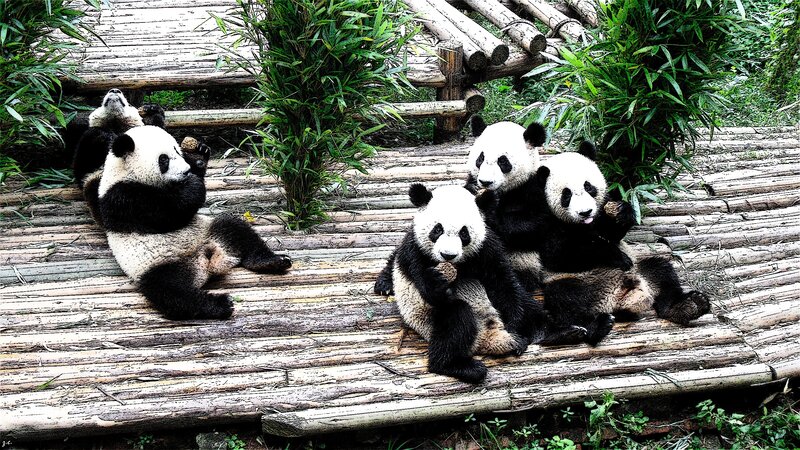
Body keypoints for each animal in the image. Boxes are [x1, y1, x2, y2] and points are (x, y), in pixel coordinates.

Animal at [92, 125, 292, 320]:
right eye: (163, 160)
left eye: (177, 150)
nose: (186, 171)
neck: (124, 172)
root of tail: (205, 260)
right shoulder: (123, 198)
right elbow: (168, 213)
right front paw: (193, 185)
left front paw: (199, 157)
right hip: (157, 266)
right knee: (171, 292)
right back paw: (220, 305)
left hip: (208, 231)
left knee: (235, 229)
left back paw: (273, 261)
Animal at [374, 116, 547, 296]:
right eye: (480, 159)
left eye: (503, 161)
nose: (485, 182)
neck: (502, 193)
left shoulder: (531, 190)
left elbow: (531, 223)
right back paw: (385, 283)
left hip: (523, 259)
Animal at [391, 183, 585, 383]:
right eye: (437, 230)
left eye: (464, 233)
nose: (447, 255)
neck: (459, 264)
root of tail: (488, 336)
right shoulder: (415, 252)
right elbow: (429, 291)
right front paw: (439, 280)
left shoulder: (485, 248)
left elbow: (502, 283)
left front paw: (515, 324)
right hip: (427, 319)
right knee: (456, 317)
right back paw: (459, 366)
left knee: (527, 303)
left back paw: (560, 332)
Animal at [531, 142, 711, 344]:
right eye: (566, 195)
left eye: (588, 186)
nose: (585, 212)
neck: (583, 225)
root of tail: (617, 297)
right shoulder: (544, 221)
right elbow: (561, 253)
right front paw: (617, 256)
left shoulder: (600, 213)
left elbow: (613, 233)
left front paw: (621, 213)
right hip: (578, 283)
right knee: (565, 300)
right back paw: (594, 327)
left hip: (640, 271)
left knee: (662, 271)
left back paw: (689, 305)